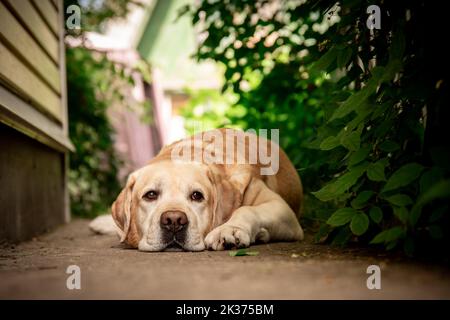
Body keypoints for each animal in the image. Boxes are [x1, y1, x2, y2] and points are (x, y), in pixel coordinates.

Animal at [90, 127, 304, 250]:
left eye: (197, 196)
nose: (173, 221)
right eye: (150, 195)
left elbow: (246, 209)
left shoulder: (280, 208)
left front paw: (230, 229)